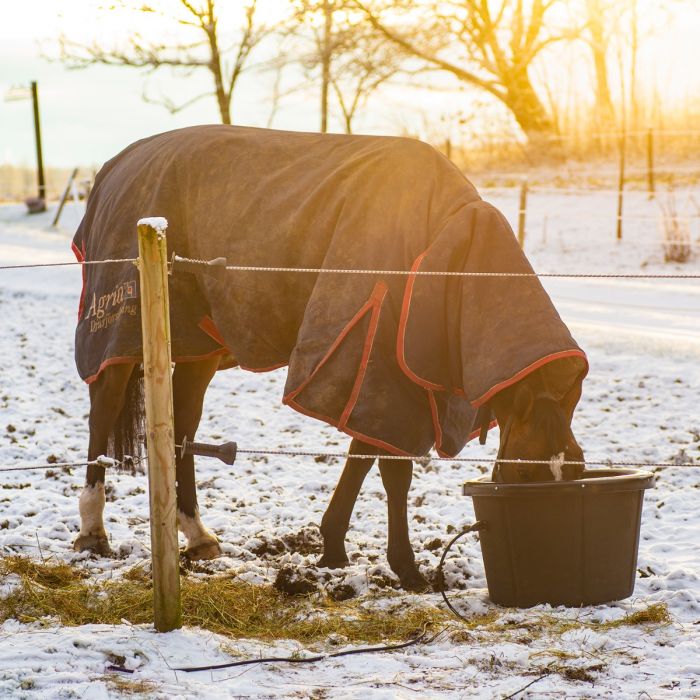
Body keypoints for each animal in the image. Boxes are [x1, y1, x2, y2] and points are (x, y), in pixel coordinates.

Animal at [72, 124, 584, 592]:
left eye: (576, 470)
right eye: (523, 471)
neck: (441, 245)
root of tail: (121, 162)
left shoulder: (378, 375)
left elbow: (363, 457)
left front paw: (335, 546)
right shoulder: (376, 361)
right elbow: (391, 471)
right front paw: (405, 568)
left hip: (198, 347)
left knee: (181, 429)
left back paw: (198, 536)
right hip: (122, 333)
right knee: (102, 414)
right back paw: (93, 532)